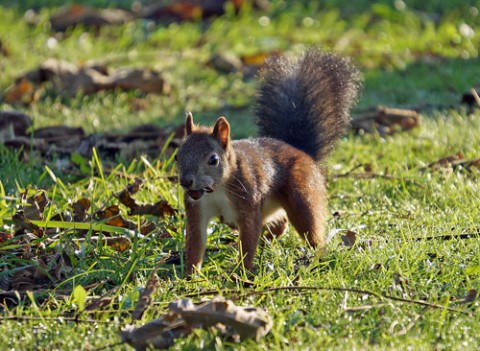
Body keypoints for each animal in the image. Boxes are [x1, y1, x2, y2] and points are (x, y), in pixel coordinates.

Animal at [175, 50, 360, 276]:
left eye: (213, 159)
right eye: (177, 155)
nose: (186, 181)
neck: (216, 189)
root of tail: (303, 153)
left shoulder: (248, 204)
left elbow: (248, 240)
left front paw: (241, 271)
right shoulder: (196, 209)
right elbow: (195, 242)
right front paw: (190, 276)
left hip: (301, 195)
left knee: (310, 230)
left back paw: (315, 255)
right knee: (280, 225)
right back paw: (266, 241)